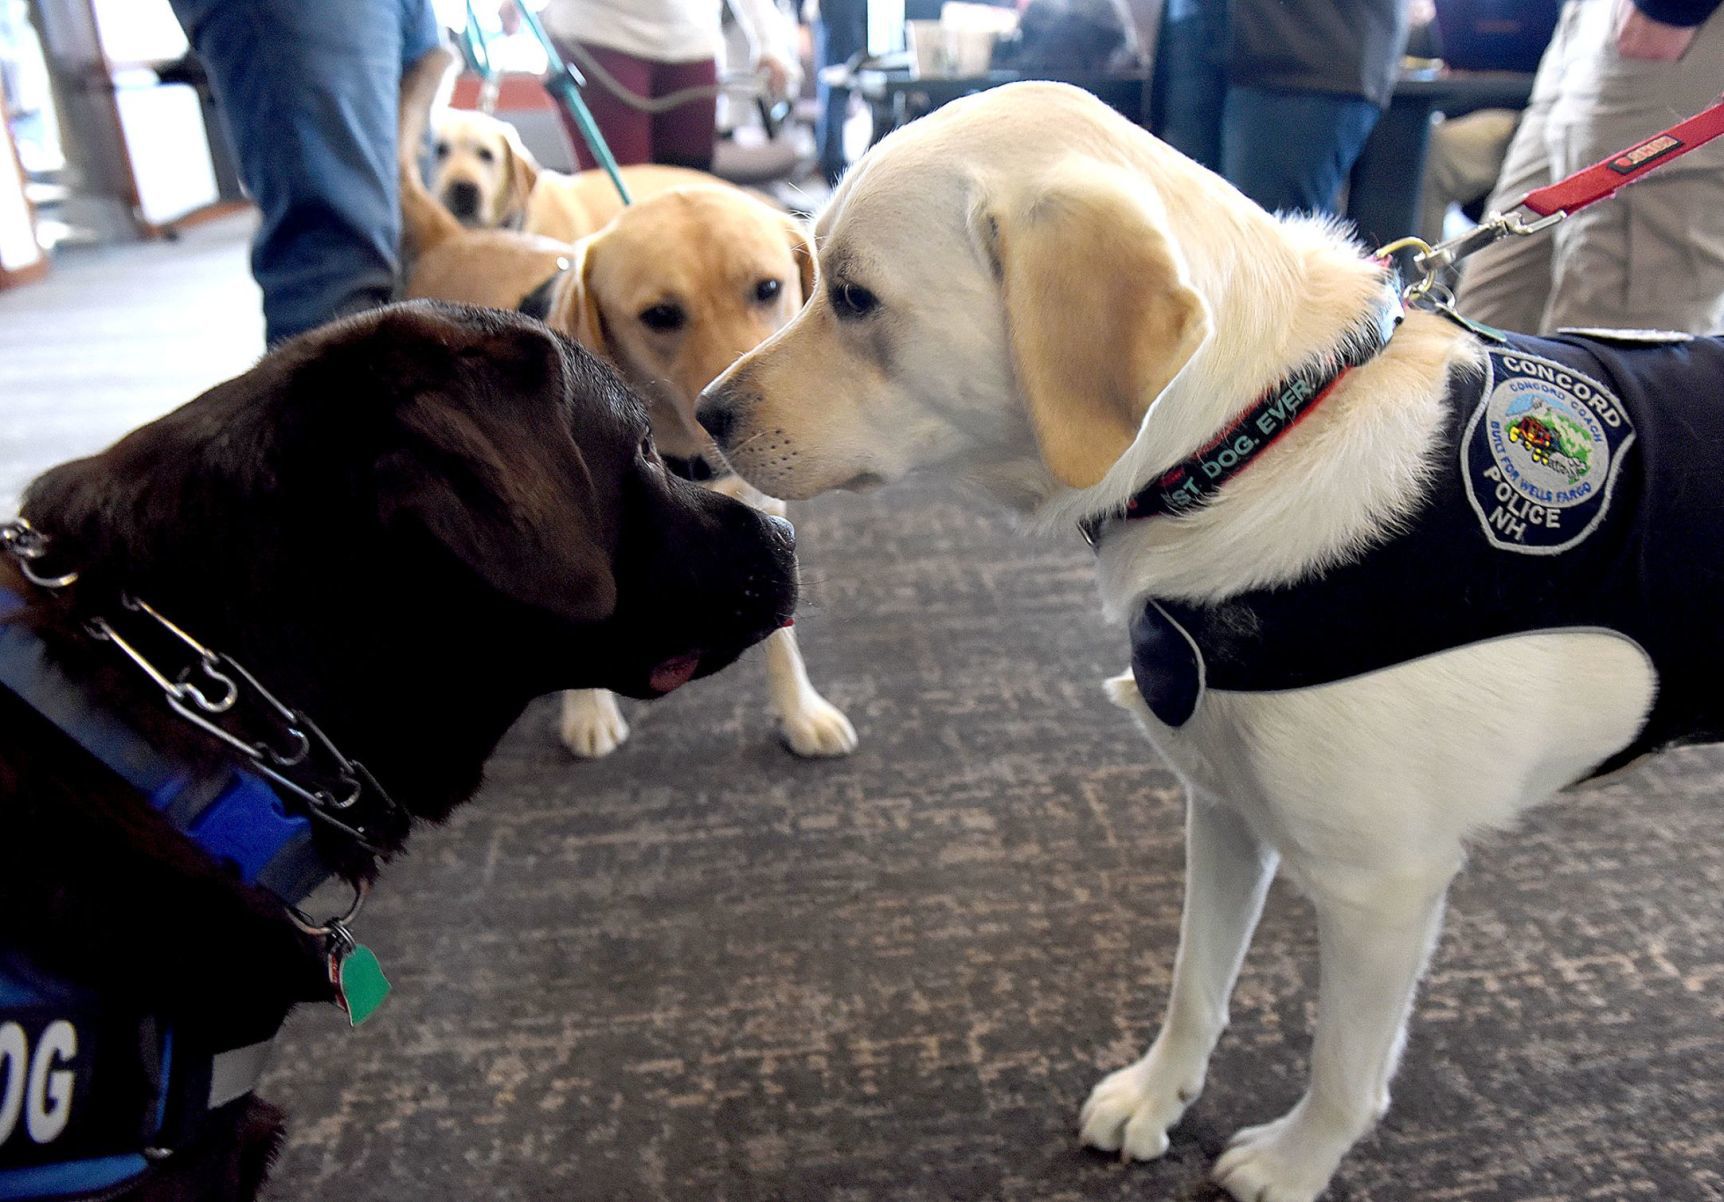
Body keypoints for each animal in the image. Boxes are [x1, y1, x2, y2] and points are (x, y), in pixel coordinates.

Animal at [689, 81, 1724, 1200]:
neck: (1252, 441)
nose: (703, 413)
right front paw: (1158, 1096)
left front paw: (1296, 1161)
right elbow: (1196, 980)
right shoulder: (1223, 808)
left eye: (853, 297)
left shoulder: (1382, 889)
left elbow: (1343, 1066)